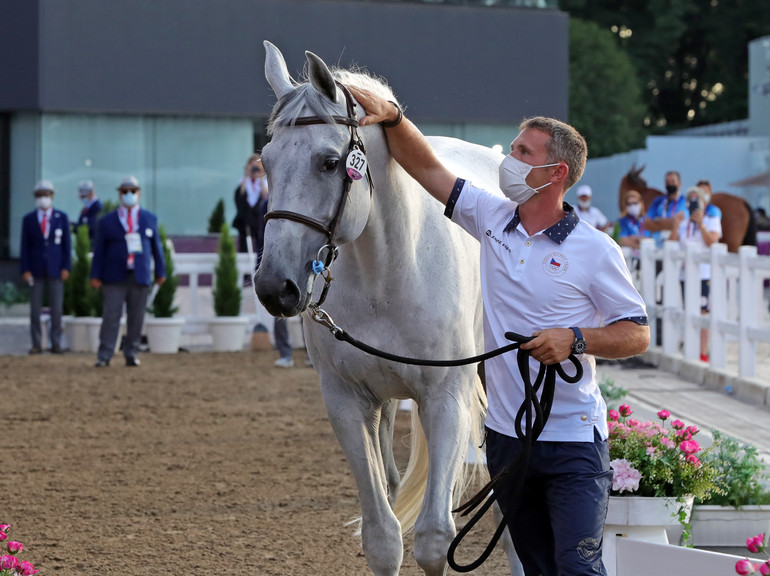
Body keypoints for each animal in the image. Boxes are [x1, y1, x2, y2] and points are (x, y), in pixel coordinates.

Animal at [255, 41, 512, 576]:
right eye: (265, 161)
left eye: (329, 162)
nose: (274, 287)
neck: (388, 272)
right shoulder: (347, 402)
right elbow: (382, 537)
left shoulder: (446, 399)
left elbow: (434, 539)